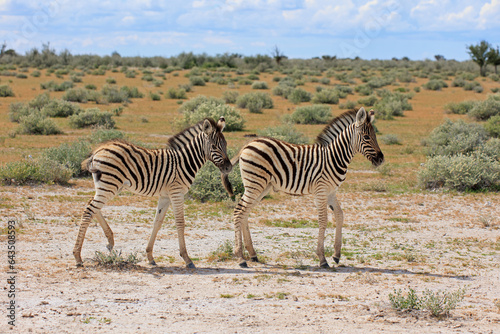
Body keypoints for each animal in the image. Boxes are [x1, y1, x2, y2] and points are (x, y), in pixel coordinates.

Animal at [73, 117, 232, 268]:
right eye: (214, 146)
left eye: (225, 144)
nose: (229, 168)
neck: (184, 161)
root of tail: (97, 151)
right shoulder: (177, 192)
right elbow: (180, 222)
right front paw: (187, 259)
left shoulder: (165, 196)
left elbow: (157, 222)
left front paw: (150, 256)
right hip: (110, 185)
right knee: (89, 210)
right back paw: (78, 257)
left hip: (107, 186)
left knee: (92, 206)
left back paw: (110, 241)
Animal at [229, 107, 384, 268]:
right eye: (366, 137)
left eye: (375, 136)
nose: (381, 159)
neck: (334, 157)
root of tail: (248, 144)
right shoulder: (321, 190)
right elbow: (323, 220)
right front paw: (322, 258)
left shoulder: (331, 192)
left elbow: (340, 215)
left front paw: (336, 255)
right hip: (255, 183)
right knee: (239, 211)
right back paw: (240, 257)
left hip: (261, 186)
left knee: (245, 212)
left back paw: (252, 254)